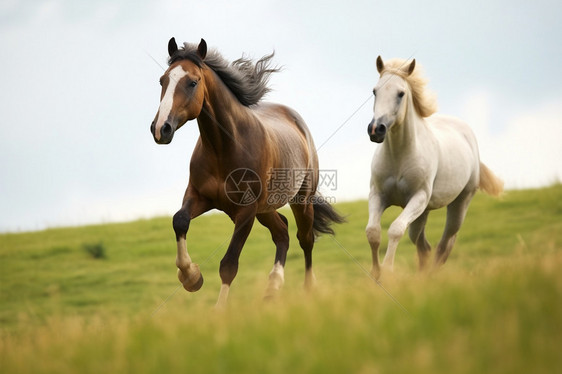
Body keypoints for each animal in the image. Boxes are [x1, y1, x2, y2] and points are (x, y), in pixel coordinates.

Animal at [149, 38, 342, 306]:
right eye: (162, 80)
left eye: (192, 82)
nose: (161, 129)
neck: (225, 147)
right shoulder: (200, 196)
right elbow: (180, 220)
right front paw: (191, 277)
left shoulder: (246, 211)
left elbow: (229, 264)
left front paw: (218, 310)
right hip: (266, 209)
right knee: (282, 232)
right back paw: (272, 288)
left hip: (300, 201)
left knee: (305, 239)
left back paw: (307, 290)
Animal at [366, 56, 500, 278]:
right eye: (375, 91)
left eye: (401, 93)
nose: (376, 130)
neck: (399, 156)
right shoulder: (378, 195)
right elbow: (373, 232)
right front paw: (376, 274)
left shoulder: (418, 197)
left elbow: (395, 229)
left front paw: (388, 271)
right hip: (423, 213)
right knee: (424, 247)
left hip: (458, 204)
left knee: (445, 244)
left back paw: (432, 276)